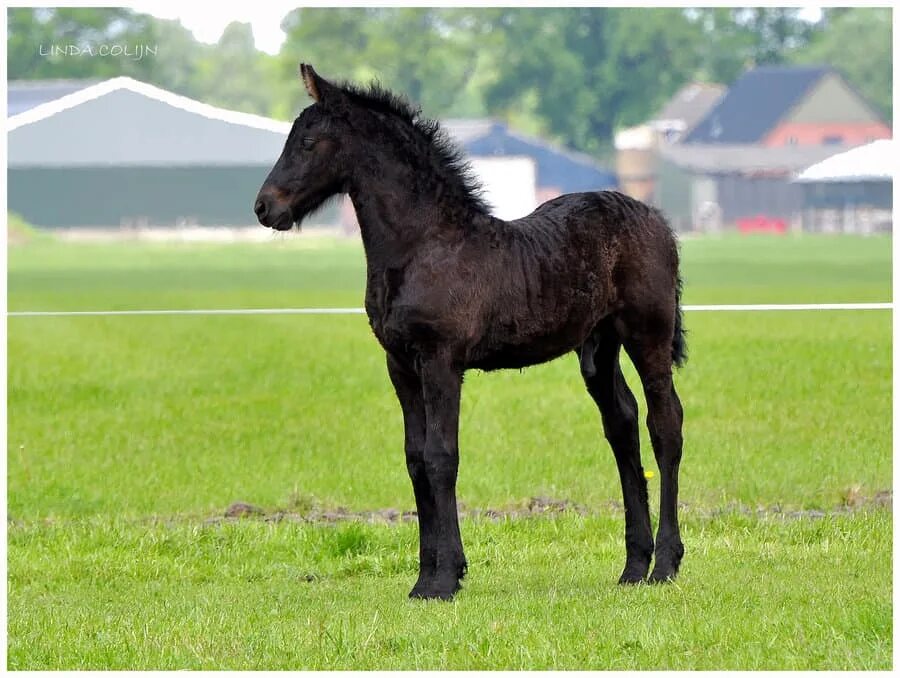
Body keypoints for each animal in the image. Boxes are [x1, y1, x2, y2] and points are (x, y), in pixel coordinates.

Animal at [256, 66, 684, 604]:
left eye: (309, 142)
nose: (264, 207)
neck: (423, 246)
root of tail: (659, 221)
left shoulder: (441, 362)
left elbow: (442, 456)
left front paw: (445, 579)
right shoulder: (400, 365)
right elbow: (415, 460)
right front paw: (424, 578)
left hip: (647, 334)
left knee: (664, 424)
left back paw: (666, 563)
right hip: (598, 347)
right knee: (622, 425)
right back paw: (633, 566)